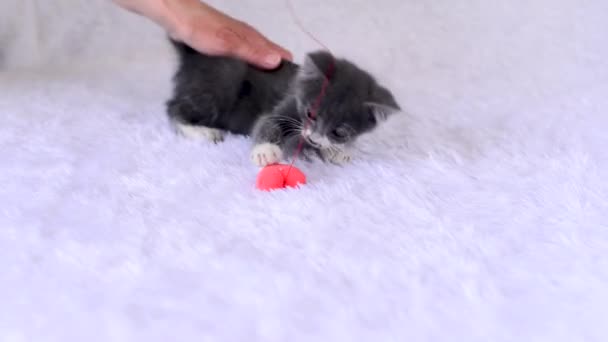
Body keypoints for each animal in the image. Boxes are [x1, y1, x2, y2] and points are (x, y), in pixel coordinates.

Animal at [165, 39, 400, 167]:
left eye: (340, 132)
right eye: (310, 114)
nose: (314, 137)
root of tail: (193, 55)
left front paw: (336, 150)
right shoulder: (285, 104)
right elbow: (267, 122)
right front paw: (265, 150)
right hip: (225, 79)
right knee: (173, 107)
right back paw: (201, 131)